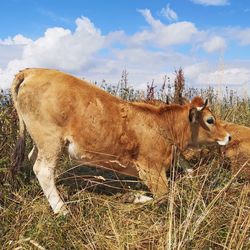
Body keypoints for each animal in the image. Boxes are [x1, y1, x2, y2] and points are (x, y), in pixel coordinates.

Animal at [11, 68, 230, 215]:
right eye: (210, 120)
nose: (229, 136)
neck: (163, 125)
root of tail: (32, 71)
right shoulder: (151, 170)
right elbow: (164, 196)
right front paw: (133, 197)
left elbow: (188, 168)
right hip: (51, 140)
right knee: (43, 170)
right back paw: (61, 209)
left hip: (41, 142)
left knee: (32, 159)